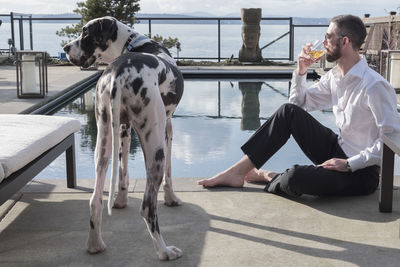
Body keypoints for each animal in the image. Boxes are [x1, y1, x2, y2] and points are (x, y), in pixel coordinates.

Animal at [64, 15, 184, 260]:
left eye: (86, 32)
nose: (65, 48)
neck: (133, 44)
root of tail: (119, 72)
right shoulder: (167, 129)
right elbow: (169, 174)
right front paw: (172, 199)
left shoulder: (124, 130)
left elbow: (123, 170)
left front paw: (120, 201)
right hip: (155, 148)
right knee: (147, 208)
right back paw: (164, 250)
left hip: (103, 142)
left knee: (95, 200)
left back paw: (95, 244)